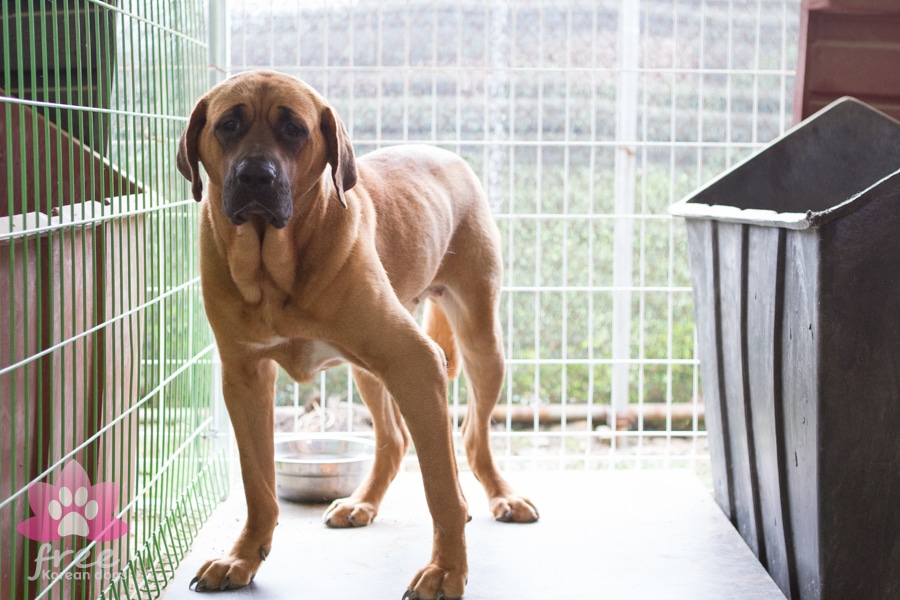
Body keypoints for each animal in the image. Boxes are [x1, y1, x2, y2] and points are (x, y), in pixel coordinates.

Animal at [179, 71, 536, 600]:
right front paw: (242, 557)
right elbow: (258, 484)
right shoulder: (244, 378)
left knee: (471, 438)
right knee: (394, 440)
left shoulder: (416, 362)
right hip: (370, 371)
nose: (256, 177)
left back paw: (503, 497)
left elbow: (440, 492)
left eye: (294, 130)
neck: (273, 267)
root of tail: (445, 153)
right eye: (228, 125)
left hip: (480, 346)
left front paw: (446, 570)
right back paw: (361, 502)